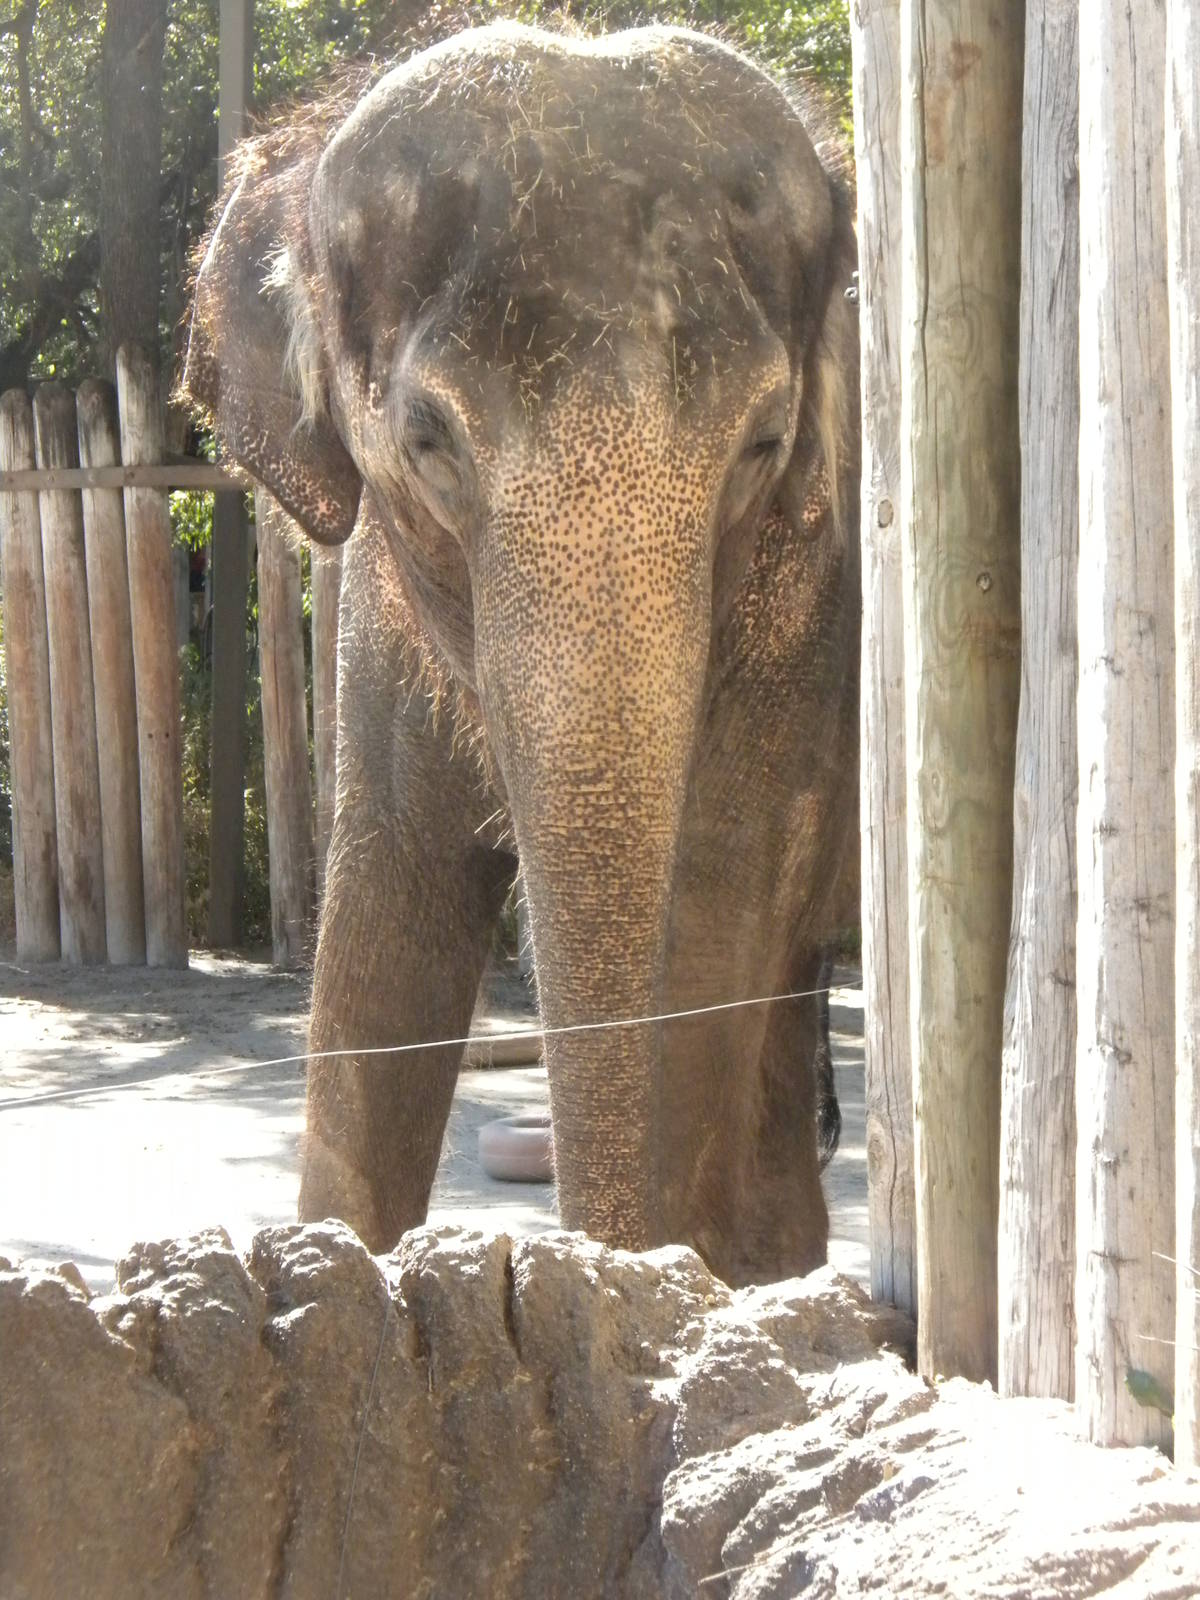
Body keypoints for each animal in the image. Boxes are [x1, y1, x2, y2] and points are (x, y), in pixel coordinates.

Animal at [184, 20, 860, 1288]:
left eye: (764, 445)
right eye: (427, 438)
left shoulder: (812, 591)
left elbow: (716, 903)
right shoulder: (377, 603)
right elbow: (385, 923)